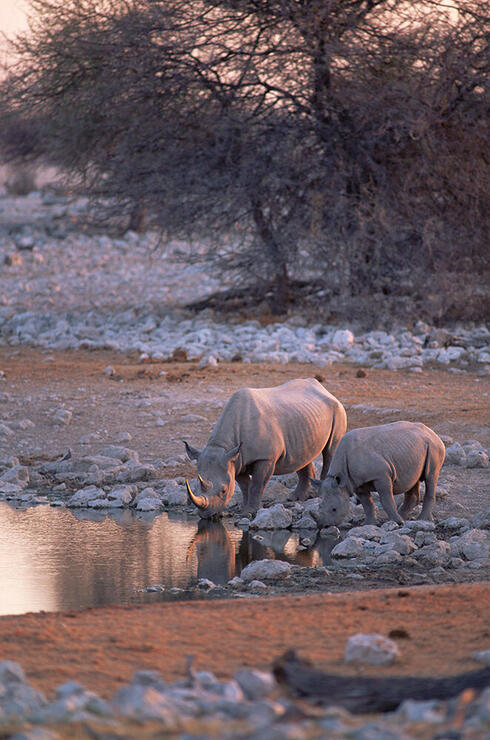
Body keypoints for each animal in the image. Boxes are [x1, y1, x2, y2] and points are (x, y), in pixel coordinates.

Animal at [183, 378, 344, 516]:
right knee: (301, 457)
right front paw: (244, 509)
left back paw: (321, 495)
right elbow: (245, 486)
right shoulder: (236, 459)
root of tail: (324, 389)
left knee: (330, 451)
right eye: (195, 488)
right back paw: (294, 498)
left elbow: (257, 485)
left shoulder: (265, 458)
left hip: (337, 409)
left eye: (223, 491)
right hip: (304, 419)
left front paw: (250, 511)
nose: (206, 515)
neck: (222, 446)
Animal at [312, 422, 446, 528]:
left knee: (430, 476)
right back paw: (403, 517)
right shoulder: (356, 482)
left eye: (334, 509)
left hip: (434, 447)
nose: (323, 526)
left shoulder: (381, 476)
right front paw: (368, 524)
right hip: (416, 449)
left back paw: (421, 520)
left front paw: (397, 522)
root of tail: (432, 433)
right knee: (413, 480)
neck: (342, 478)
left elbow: (386, 499)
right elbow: (367, 503)